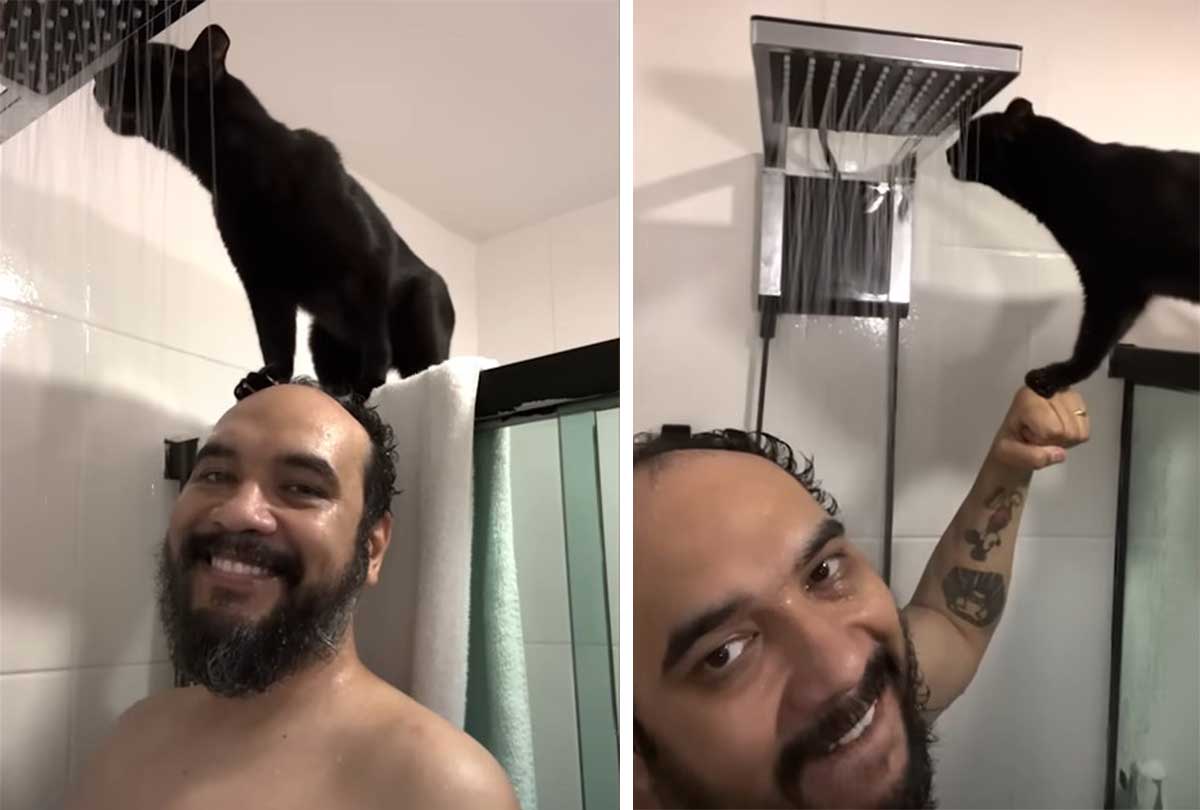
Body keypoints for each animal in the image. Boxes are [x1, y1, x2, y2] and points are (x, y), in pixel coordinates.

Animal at [93, 27, 453, 400]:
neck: (237, 171)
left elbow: (375, 339)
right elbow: (275, 341)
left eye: (136, 60)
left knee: (421, 362)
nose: (95, 76)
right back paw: (334, 390)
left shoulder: (366, 260)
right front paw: (266, 380)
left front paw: (369, 385)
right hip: (321, 336)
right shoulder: (262, 280)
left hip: (421, 313)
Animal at [945, 98, 1200, 398]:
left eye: (968, 134)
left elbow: (1090, 342)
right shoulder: (1121, 289)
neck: (1074, 176)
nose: (947, 152)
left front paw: (1055, 376)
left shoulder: (1112, 286)